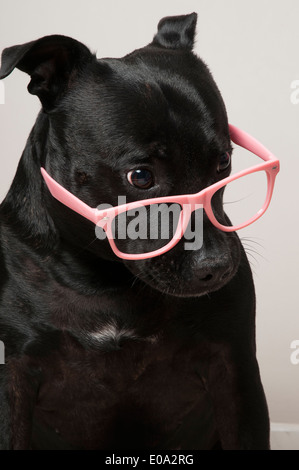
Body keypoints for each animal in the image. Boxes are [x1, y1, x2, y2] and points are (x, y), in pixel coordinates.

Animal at [0, 12, 270, 450]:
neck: (106, 279)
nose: (218, 266)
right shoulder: (13, 376)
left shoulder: (235, 370)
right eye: (140, 176)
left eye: (224, 162)